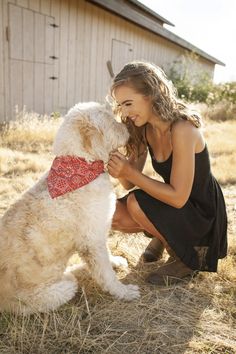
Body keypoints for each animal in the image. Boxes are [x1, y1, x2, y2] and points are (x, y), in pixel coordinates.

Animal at [0, 101, 140, 312]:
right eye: (109, 119)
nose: (129, 127)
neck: (81, 163)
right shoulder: (92, 239)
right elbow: (106, 274)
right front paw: (124, 292)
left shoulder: (99, 233)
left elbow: (106, 257)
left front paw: (115, 261)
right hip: (59, 289)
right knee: (71, 279)